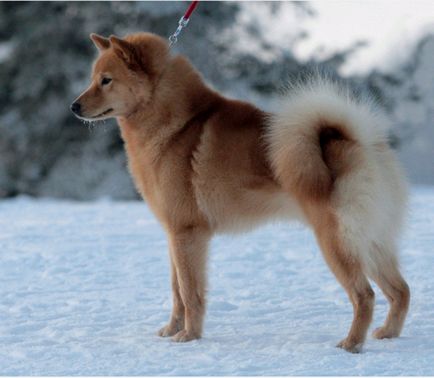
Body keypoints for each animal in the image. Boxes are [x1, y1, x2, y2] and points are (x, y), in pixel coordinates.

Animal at [71, 32, 410, 354]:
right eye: (93, 77)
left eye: (106, 80)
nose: (74, 106)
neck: (178, 123)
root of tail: (357, 141)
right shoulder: (174, 235)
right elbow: (177, 291)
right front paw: (172, 330)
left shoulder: (188, 234)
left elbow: (190, 293)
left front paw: (189, 336)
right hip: (372, 242)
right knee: (401, 291)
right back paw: (388, 334)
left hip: (336, 243)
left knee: (365, 296)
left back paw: (352, 344)